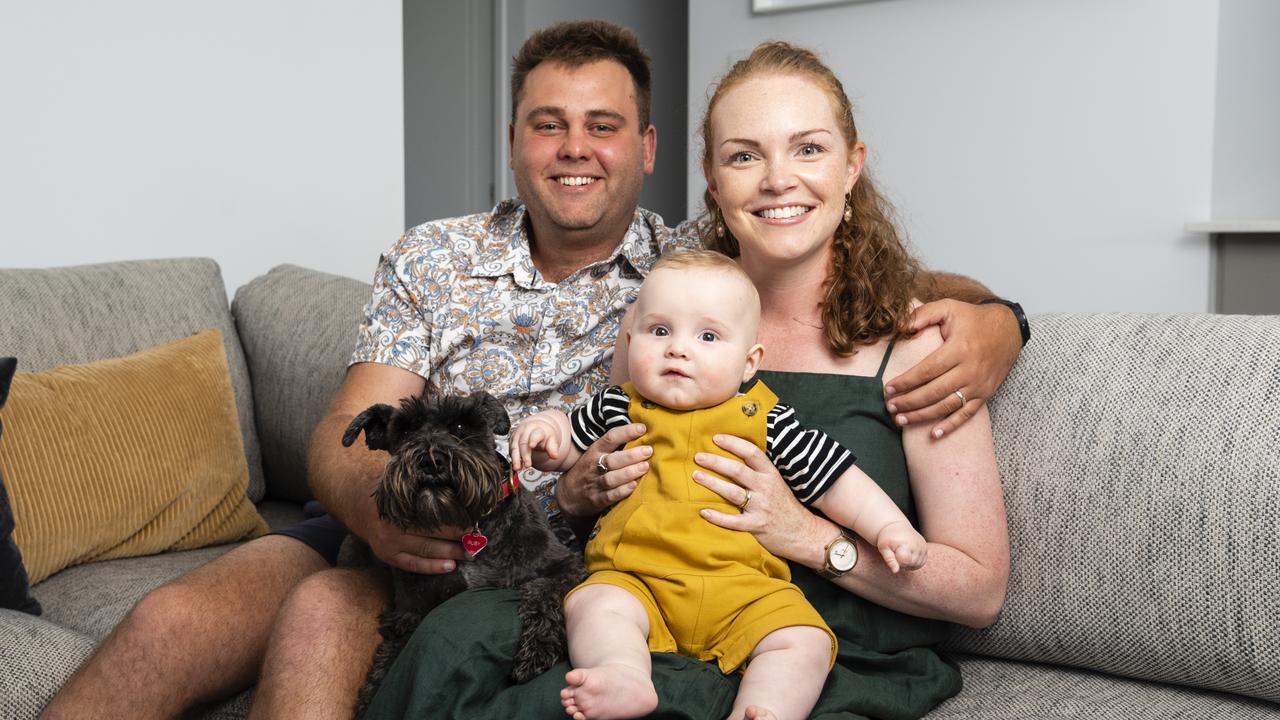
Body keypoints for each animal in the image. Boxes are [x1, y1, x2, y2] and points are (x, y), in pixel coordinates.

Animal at [335, 389, 586, 712]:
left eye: (460, 427)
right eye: (405, 432)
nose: (430, 461)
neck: (469, 524)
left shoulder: (566, 566)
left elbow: (545, 592)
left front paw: (537, 650)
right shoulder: (410, 611)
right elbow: (390, 658)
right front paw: (371, 698)